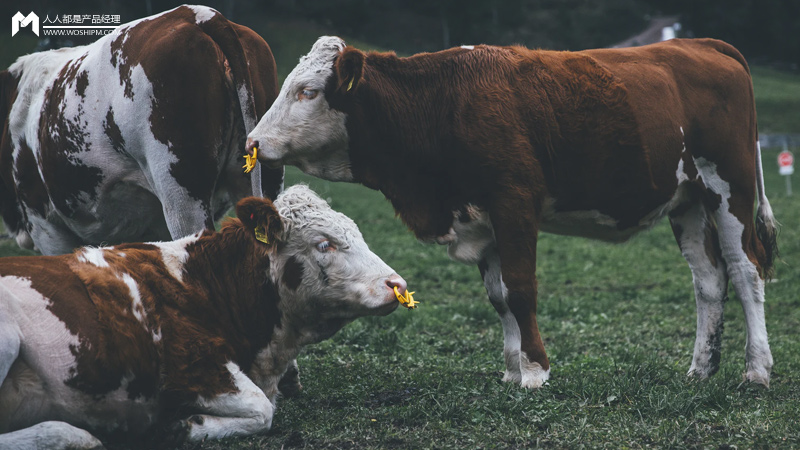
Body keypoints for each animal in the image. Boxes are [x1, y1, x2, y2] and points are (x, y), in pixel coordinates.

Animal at [247, 37, 780, 390]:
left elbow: (521, 290)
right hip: (687, 201)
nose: (253, 140)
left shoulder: (514, 204)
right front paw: (512, 367)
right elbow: (499, 296)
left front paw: (536, 371)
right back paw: (701, 369)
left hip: (728, 188)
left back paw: (756, 369)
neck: (442, 104)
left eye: (309, 91)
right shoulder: (482, 219)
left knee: (746, 270)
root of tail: (703, 45)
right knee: (709, 281)